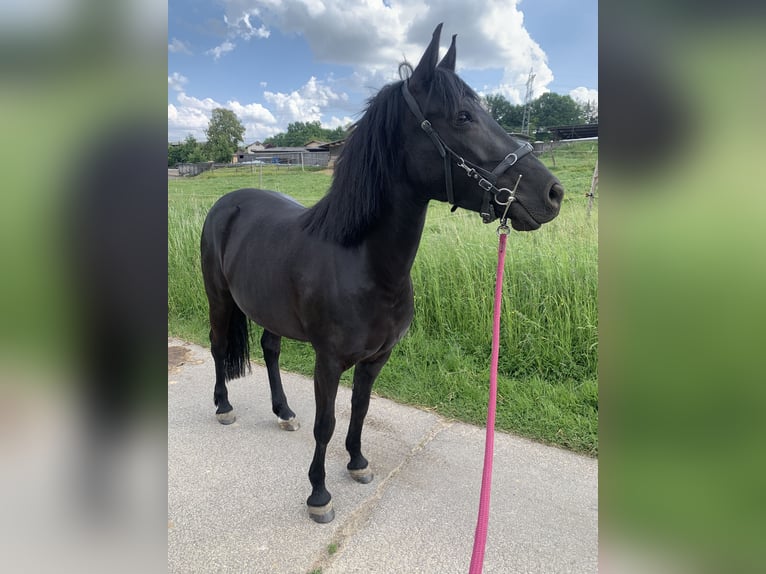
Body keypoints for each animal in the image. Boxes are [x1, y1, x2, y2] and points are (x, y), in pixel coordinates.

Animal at [200, 24, 563, 523]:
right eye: (464, 116)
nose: (552, 193)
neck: (365, 265)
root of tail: (226, 202)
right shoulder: (328, 360)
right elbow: (327, 422)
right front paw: (318, 494)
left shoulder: (376, 359)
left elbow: (360, 408)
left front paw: (357, 462)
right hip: (219, 298)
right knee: (219, 347)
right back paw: (224, 406)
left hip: (269, 309)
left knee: (270, 350)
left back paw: (283, 412)